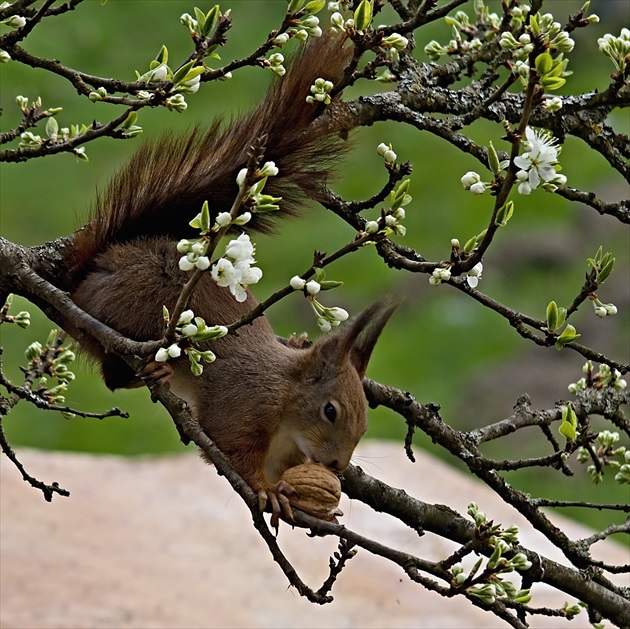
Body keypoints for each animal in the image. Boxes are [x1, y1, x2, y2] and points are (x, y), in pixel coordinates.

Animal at [59, 36, 396, 524]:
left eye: (365, 423)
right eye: (330, 410)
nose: (336, 465)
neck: (285, 402)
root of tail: (89, 273)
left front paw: (311, 500)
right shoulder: (243, 406)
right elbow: (230, 447)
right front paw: (267, 491)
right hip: (122, 319)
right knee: (111, 373)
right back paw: (151, 370)